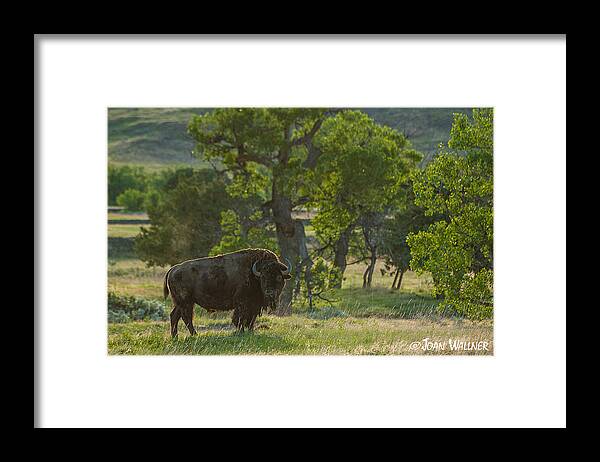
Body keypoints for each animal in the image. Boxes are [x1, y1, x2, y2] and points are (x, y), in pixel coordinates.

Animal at [163, 249, 292, 336]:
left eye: (279, 277)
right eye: (263, 277)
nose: (270, 293)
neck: (254, 274)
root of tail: (173, 269)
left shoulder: (255, 305)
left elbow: (251, 320)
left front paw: (250, 332)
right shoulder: (242, 303)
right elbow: (240, 319)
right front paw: (241, 332)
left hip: (181, 303)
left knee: (175, 316)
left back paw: (175, 336)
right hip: (186, 302)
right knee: (186, 317)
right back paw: (194, 334)